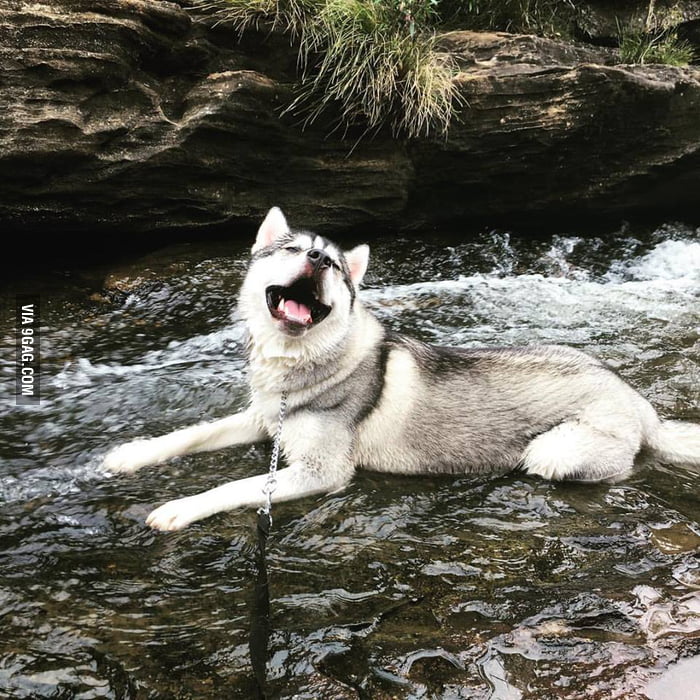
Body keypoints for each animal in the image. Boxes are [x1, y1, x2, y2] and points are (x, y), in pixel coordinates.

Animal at [102, 208, 700, 532]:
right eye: (295, 249)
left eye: (335, 266)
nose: (318, 261)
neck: (303, 364)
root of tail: (639, 402)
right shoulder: (262, 419)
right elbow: (192, 433)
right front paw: (131, 455)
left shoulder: (319, 473)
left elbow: (235, 486)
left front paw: (179, 508)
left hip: (553, 451)